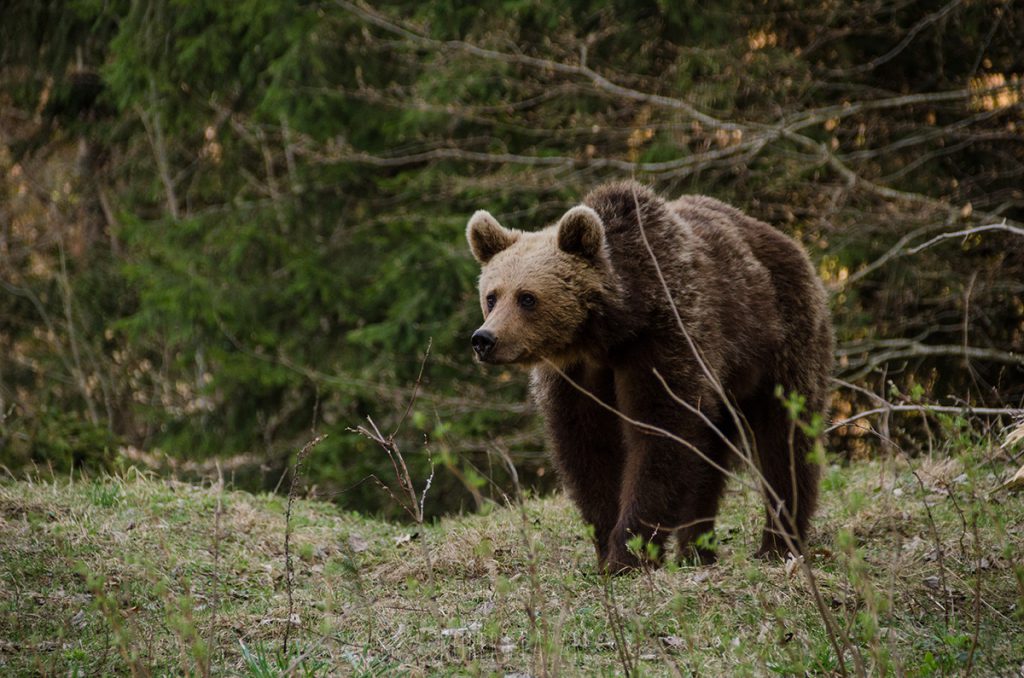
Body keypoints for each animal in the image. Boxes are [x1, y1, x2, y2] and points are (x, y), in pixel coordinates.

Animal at [468, 182, 835, 573]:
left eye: (527, 298)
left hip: (782, 336)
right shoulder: (574, 375)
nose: (485, 339)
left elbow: (660, 435)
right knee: (710, 455)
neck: (609, 333)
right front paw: (607, 544)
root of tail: (789, 241)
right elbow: (588, 448)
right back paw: (696, 551)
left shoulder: (665, 339)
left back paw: (777, 543)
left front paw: (628, 552)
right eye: (491, 296)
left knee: (786, 437)